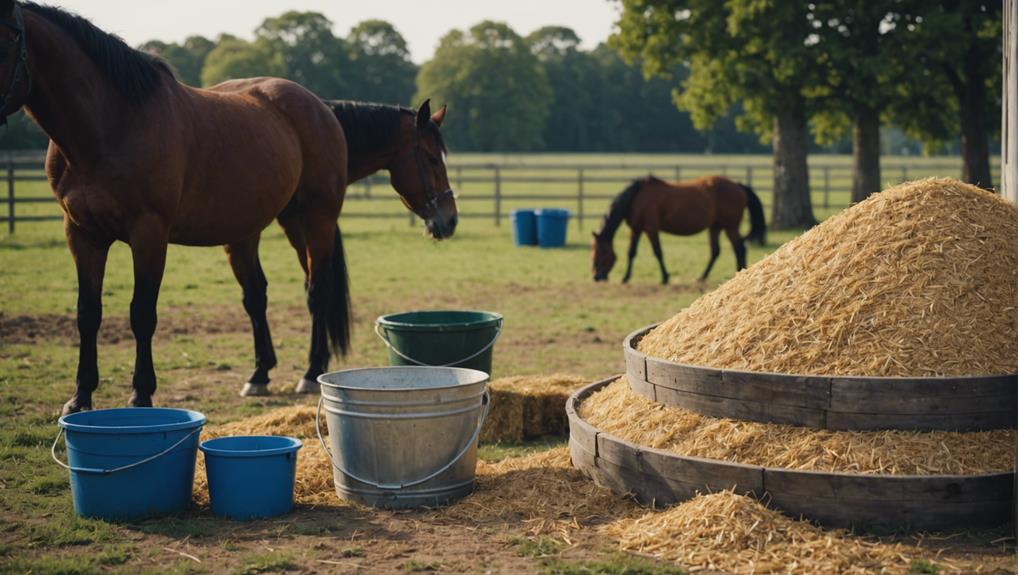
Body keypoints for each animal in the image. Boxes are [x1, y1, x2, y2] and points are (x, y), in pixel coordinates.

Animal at [0, 1, 458, 413]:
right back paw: (260, 375)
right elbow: (87, 313)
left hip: (314, 220)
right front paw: (80, 397)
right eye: (431, 157)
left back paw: (311, 373)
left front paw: (141, 394)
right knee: (259, 295)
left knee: (316, 292)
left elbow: (141, 313)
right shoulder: (82, 234)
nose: (449, 220)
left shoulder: (148, 234)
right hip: (257, 228)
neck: (111, 123)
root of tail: (321, 109)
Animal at [590, 174, 765, 282]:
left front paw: (665, 277)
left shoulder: (651, 228)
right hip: (715, 227)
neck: (636, 197)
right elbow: (631, 253)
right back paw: (703, 277)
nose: (597, 276)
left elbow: (658, 252)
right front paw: (626, 278)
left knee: (739, 248)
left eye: (602, 252)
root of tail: (738, 185)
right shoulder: (636, 229)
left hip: (730, 226)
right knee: (716, 251)